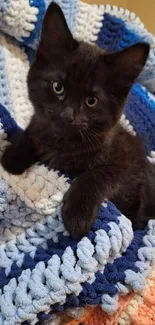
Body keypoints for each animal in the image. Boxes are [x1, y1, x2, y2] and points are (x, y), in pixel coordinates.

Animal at [1, 3, 155, 238]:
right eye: (58, 87)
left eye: (91, 101)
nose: (67, 115)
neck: (63, 144)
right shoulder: (42, 123)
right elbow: (34, 129)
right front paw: (14, 156)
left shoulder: (127, 164)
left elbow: (97, 173)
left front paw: (77, 215)